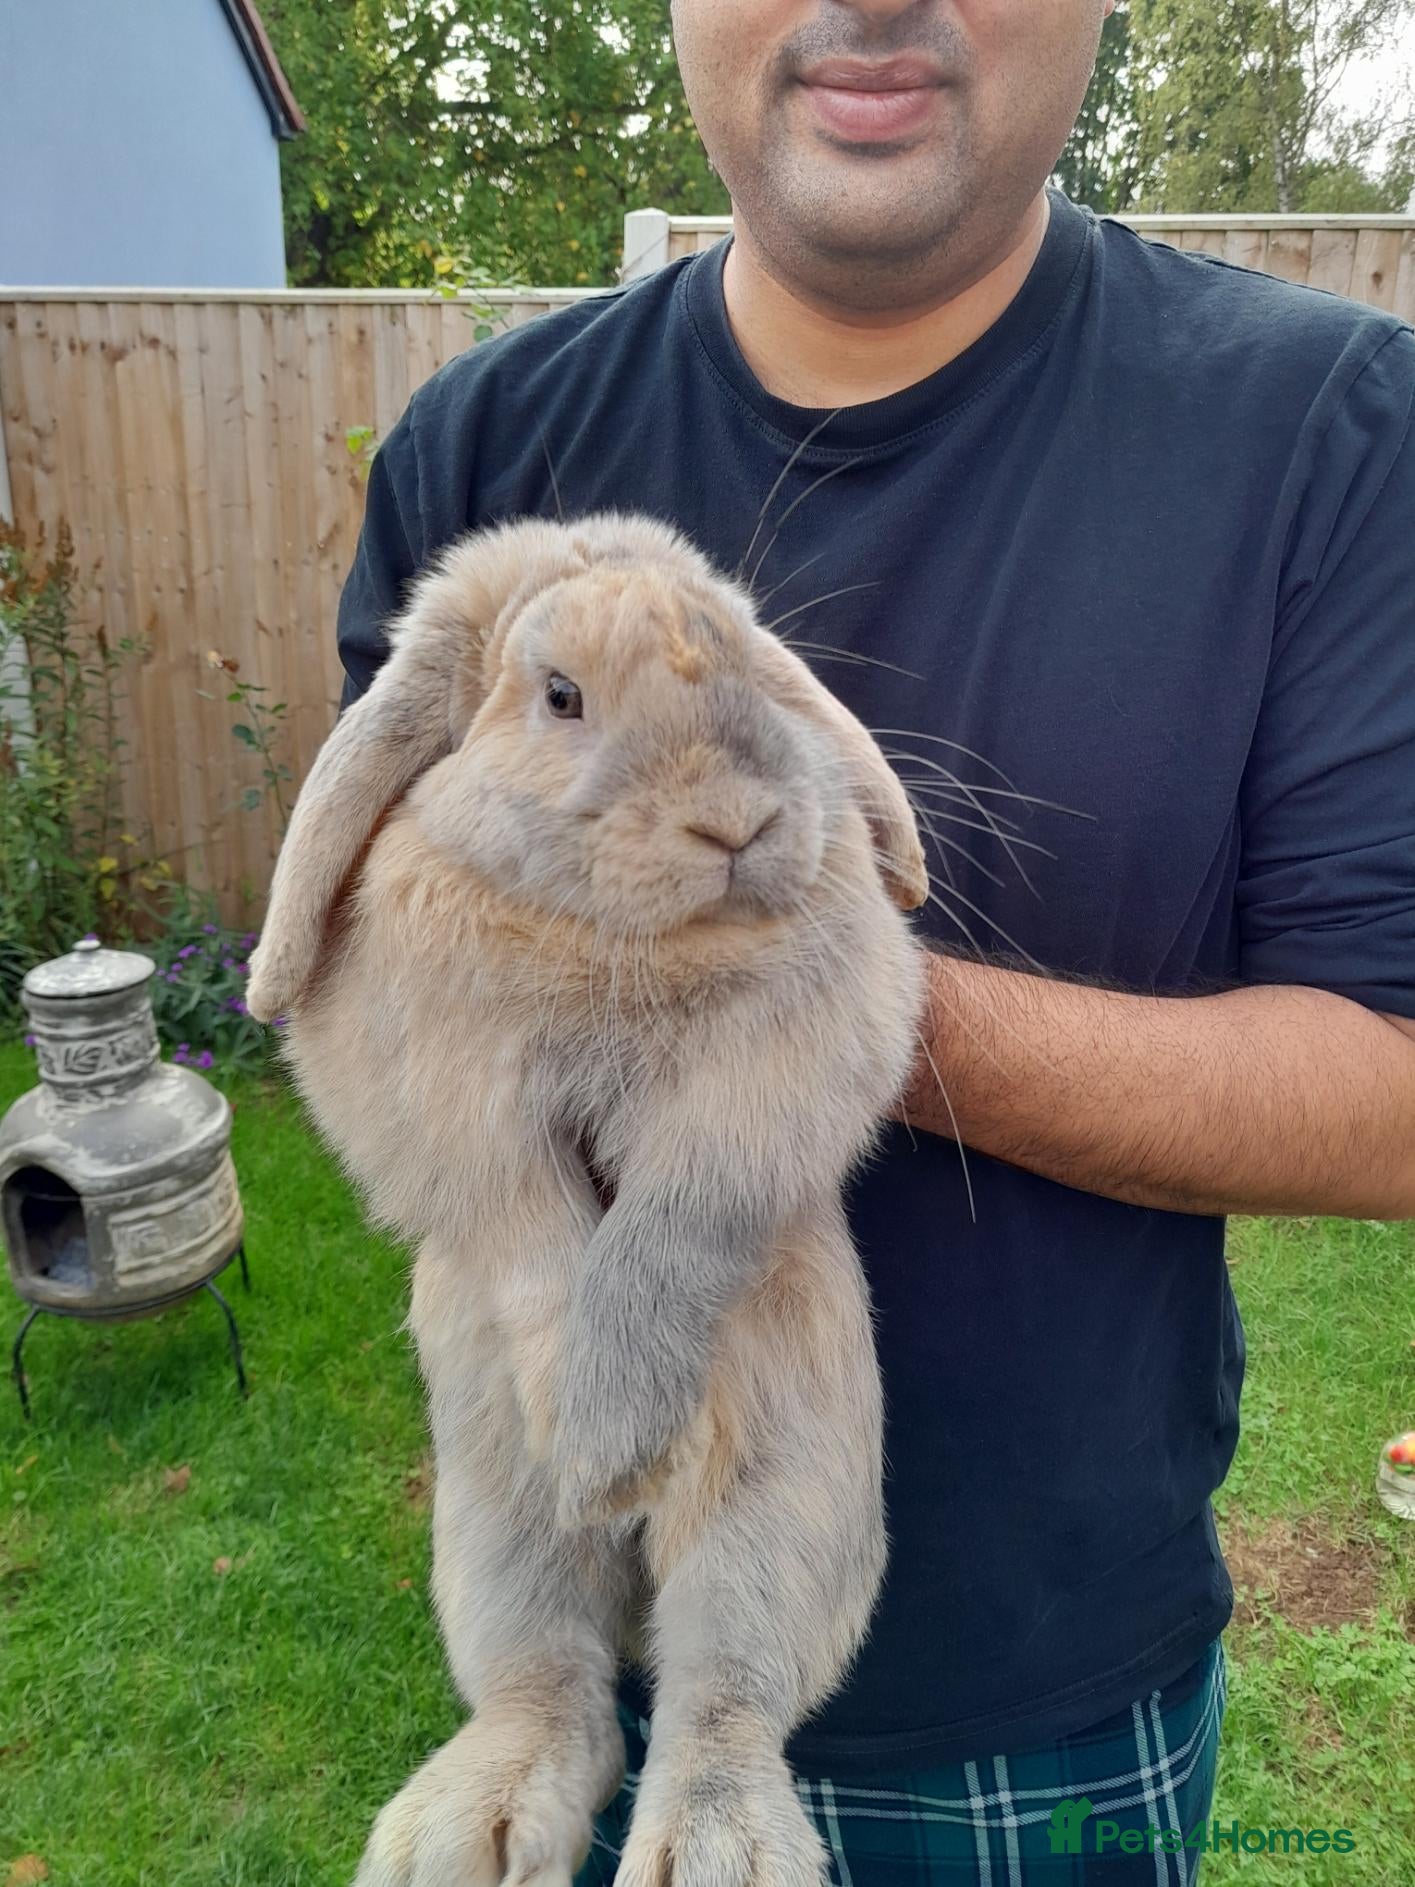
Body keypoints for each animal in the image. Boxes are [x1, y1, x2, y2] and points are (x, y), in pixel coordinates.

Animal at [246, 511, 929, 1887]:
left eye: (746, 663)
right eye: (559, 695)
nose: (735, 821)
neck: (616, 932)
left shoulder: (771, 1079)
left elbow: (672, 1228)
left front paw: (615, 1433)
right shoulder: (451, 1092)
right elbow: (527, 1240)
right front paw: (584, 1430)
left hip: (791, 1496)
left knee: (719, 1692)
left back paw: (713, 1847)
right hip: (492, 1526)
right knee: (554, 1684)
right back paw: (468, 1826)